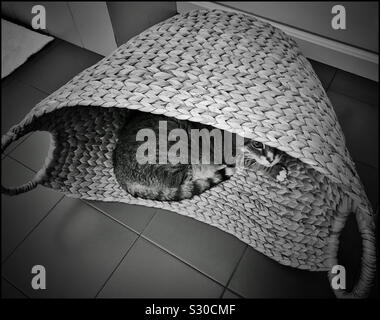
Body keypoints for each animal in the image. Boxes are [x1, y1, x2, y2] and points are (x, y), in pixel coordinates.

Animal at [113, 110, 288, 200]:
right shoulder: (231, 152)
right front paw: (275, 169)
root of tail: (119, 172)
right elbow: (252, 162)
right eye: (257, 144)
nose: (273, 158)